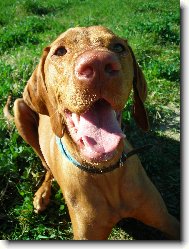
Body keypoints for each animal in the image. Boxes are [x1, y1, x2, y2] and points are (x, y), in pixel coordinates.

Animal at [3, 25, 179, 239]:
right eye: (60, 51)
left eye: (118, 47)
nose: (98, 63)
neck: (105, 173)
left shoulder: (167, 219)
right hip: (19, 109)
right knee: (46, 167)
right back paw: (42, 194)